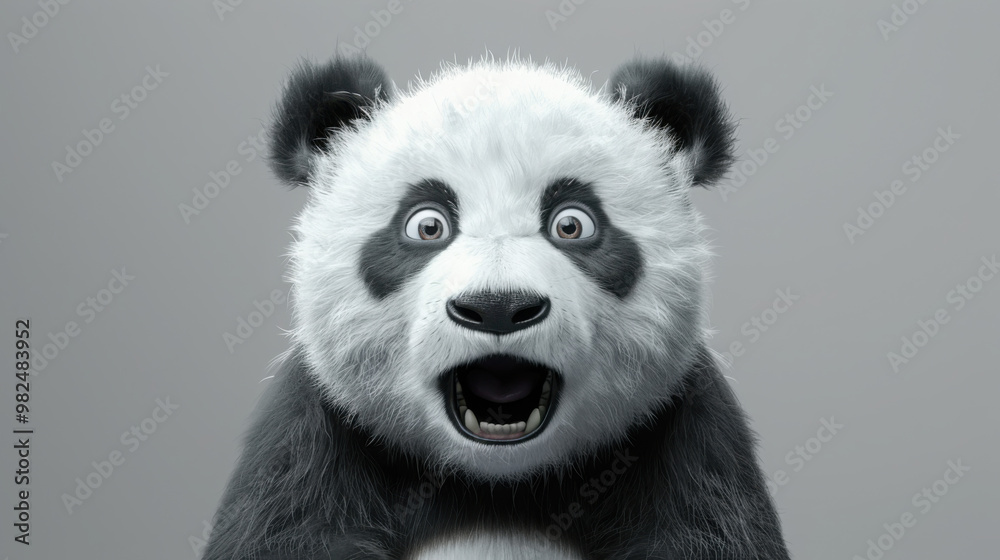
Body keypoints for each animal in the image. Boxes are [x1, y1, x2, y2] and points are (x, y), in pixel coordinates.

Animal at [203, 54, 791, 559]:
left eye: (573, 224)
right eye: (427, 225)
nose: (498, 308)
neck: (496, 485)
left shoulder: (689, 444)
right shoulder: (307, 448)